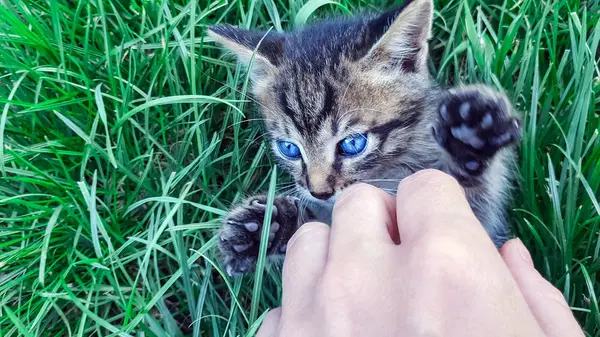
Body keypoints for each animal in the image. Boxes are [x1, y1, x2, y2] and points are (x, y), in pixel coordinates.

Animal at [209, 0, 524, 274]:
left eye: (352, 144)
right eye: (289, 148)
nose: (319, 192)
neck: (387, 173)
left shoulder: (482, 229)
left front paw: (470, 138)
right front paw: (266, 226)